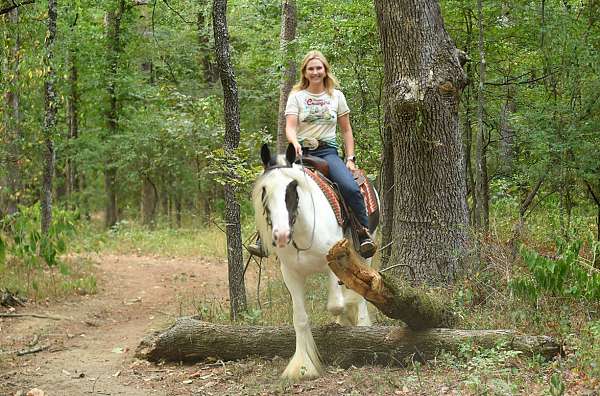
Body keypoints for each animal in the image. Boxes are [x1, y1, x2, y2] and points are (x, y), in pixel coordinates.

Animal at [252, 143, 376, 380]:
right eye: (264, 190)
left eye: (292, 187)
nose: (281, 235)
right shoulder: (290, 274)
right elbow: (300, 319)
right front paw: (303, 367)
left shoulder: (332, 261)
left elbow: (336, 305)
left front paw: (348, 313)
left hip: (365, 252)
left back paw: (362, 322)